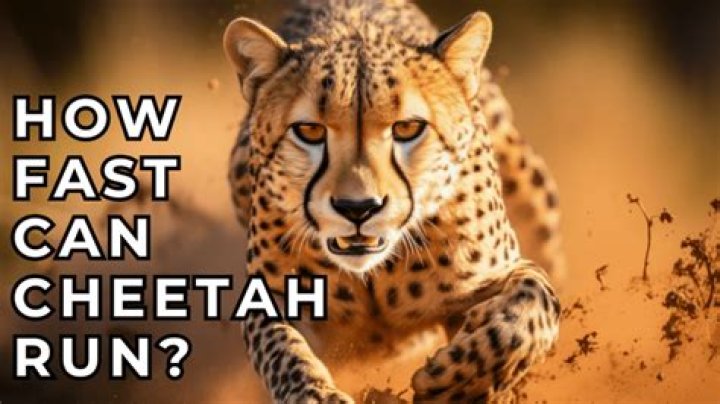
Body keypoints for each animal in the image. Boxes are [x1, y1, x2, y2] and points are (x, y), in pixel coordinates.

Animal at [223, 0, 564, 402]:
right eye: (309, 131)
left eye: (407, 128)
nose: (358, 208)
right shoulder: (270, 295)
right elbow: (283, 349)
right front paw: (315, 394)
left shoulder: (493, 276)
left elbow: (531, 304)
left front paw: (465, 384)